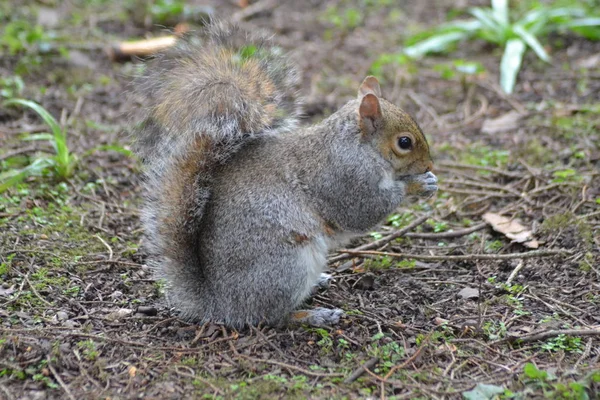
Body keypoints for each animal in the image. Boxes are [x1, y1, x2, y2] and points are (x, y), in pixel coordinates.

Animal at [131, 21, 438, 326]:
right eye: (404, 142)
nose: (428, 166)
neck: (359, 145)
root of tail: (220, 305)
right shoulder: (345, 176)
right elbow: (364, 210)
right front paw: (417, 185)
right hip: (287, 266)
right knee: (271, 316)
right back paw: (313, 315)